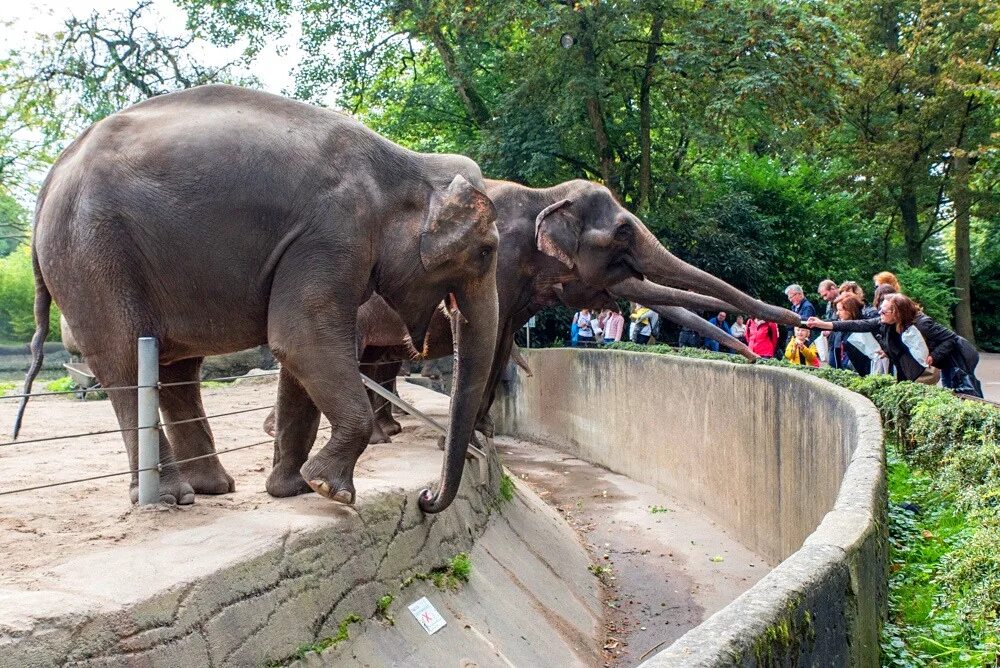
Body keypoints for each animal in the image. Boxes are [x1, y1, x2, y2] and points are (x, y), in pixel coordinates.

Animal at [14, 82, 500, 512]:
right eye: (487, 251)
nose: (427, 498)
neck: (408, 161)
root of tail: (51, 178)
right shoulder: (331, 234)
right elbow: (303, 340)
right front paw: (332, 492)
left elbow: (299, 353)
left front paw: (294, 490)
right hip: (92, 254)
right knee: (127, 360)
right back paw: (171, 497)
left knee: (176, 369)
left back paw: (210, 488)